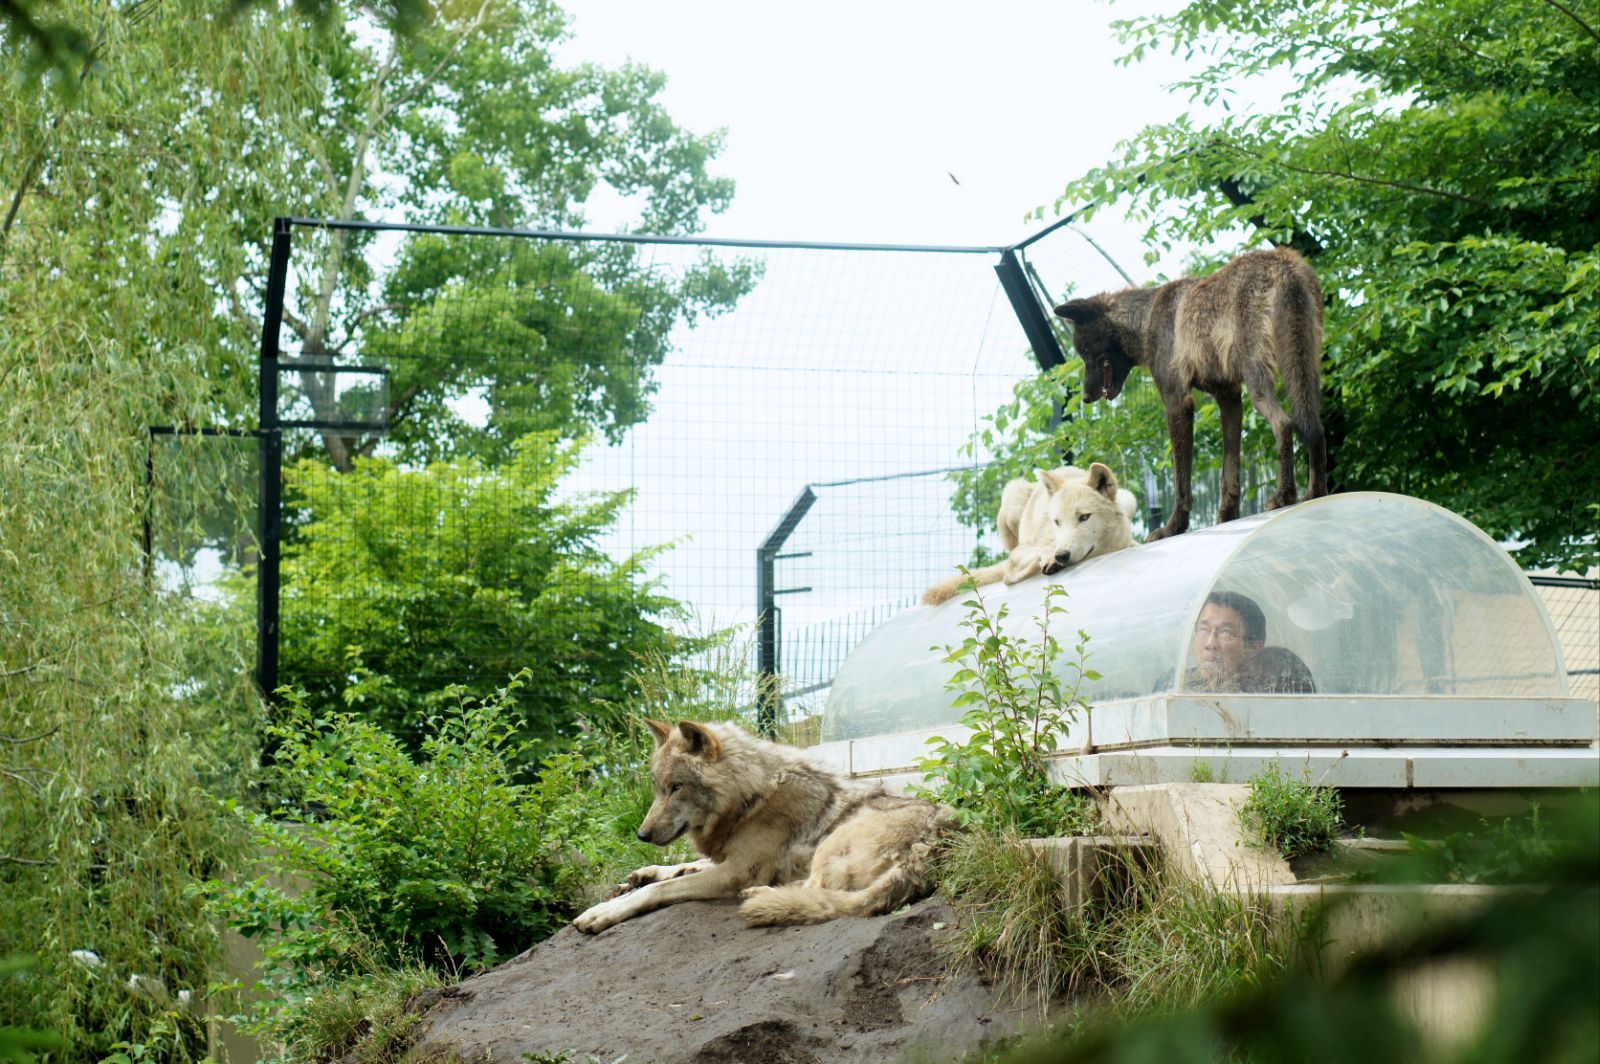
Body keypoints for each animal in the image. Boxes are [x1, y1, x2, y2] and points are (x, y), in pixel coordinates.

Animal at [572, 716, 947, 934]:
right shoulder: (728, 857)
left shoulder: (737, 871)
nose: (642, 835)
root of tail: (934, 846)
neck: (751, 797)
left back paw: (762, 896)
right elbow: (683, 865)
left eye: (677, 787)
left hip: (833, 841)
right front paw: (640, 874)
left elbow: (660, 890)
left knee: (815, 891)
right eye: (657, 787)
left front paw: (602, 912)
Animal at [928, 464, 1139, 604]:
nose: (1062, 555)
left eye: (1084, 517)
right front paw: (1050, 558)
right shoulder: (1013, 564)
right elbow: (1039, 550)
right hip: (1014, 492)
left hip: (1129, 498)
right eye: (1057, 522)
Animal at [1056, 248, 1331, 540]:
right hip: (1305, 374)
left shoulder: (1177, 402)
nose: (1085, 397)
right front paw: (1227, 515)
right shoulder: (1229, 398)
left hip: (1259, 382)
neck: (1145, 318)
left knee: (1284, 423)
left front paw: (1173, 527)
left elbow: (1181, 480)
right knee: (1315, 429)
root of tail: (1283, 261)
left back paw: (1284, 495)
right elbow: (1229, 472)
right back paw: (1315, 493)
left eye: (1085, 350)